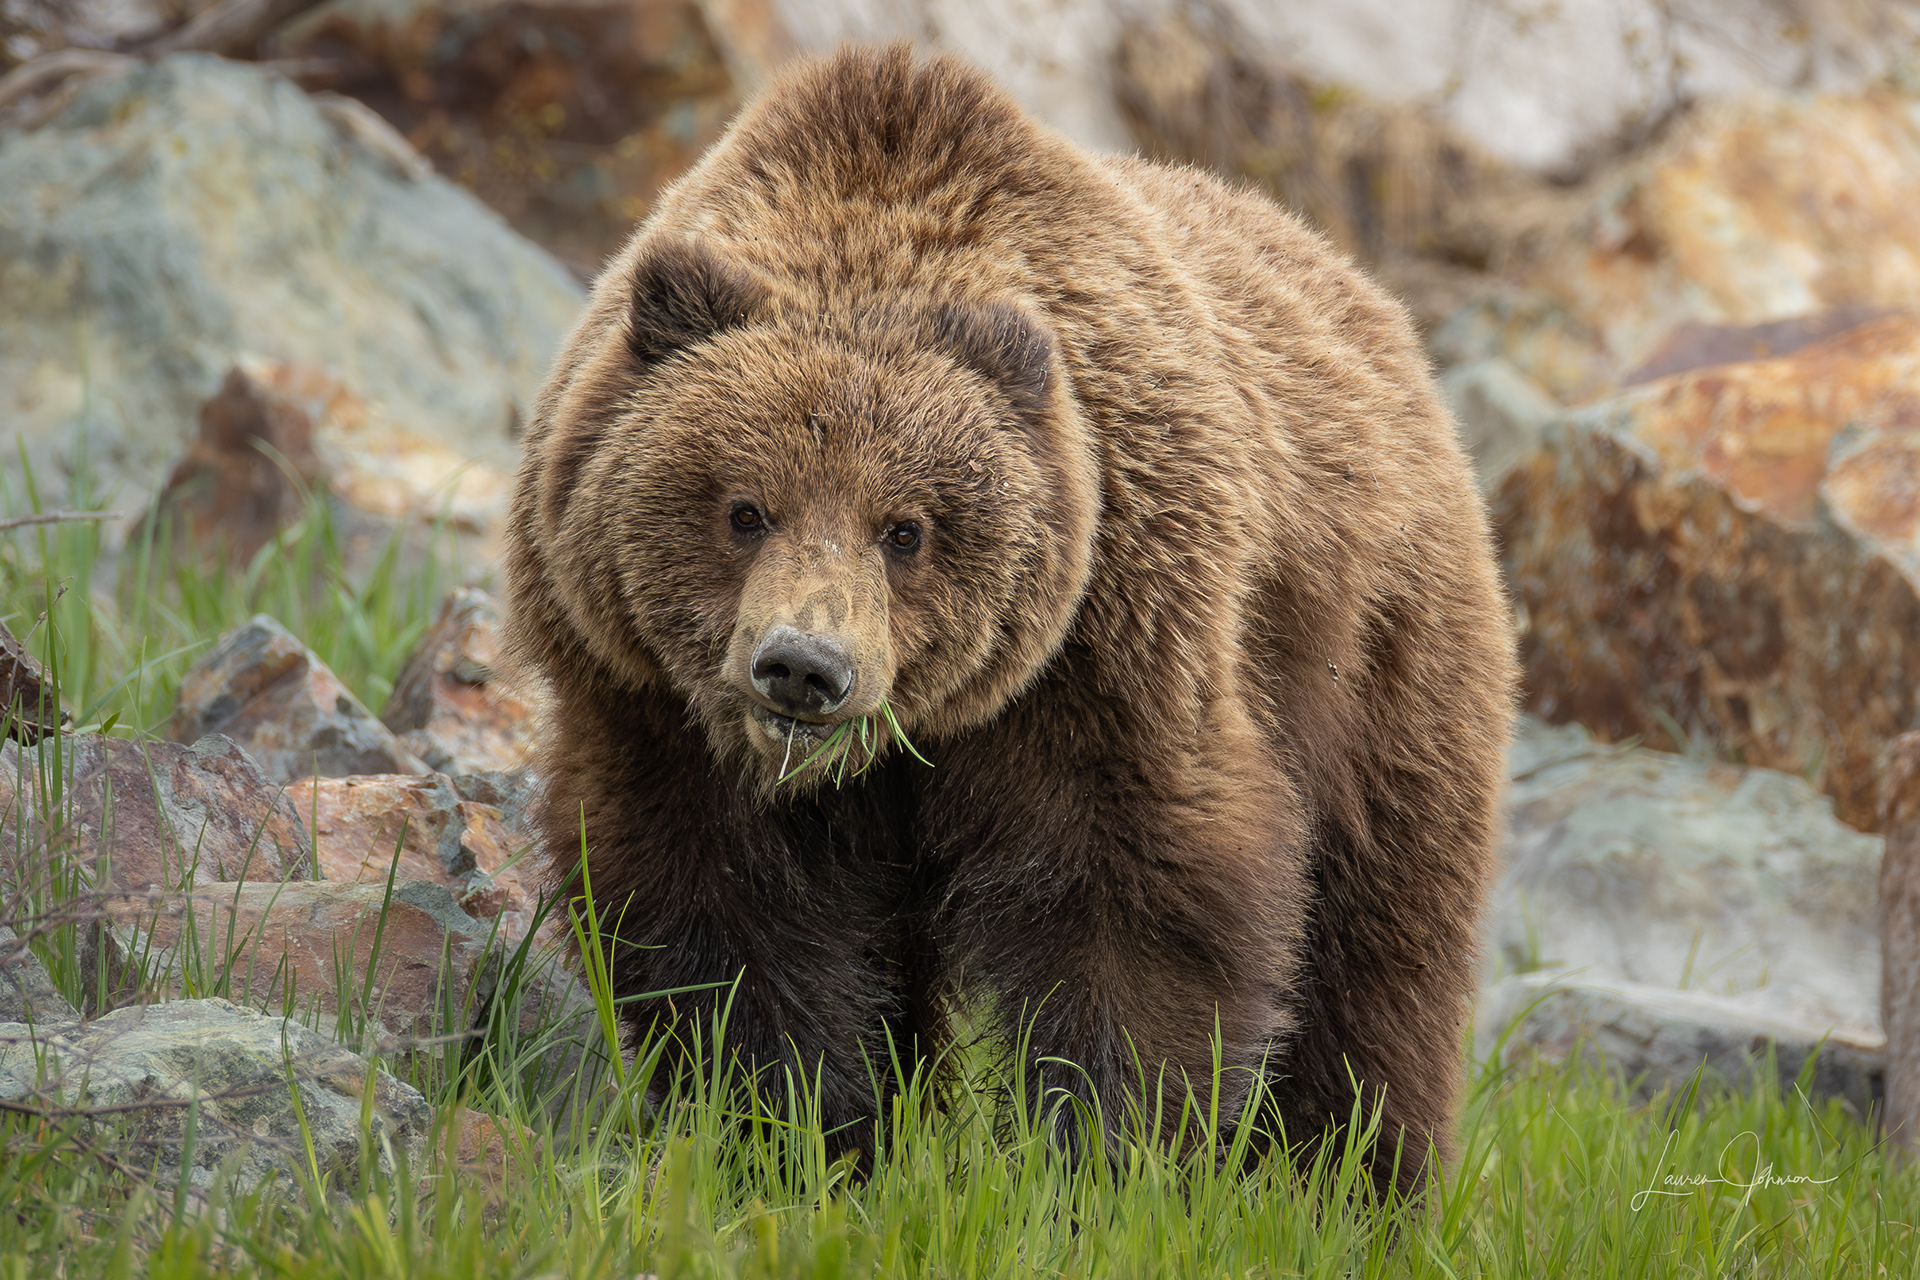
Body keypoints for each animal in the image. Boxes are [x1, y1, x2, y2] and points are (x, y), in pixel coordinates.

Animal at [504, 44, 1517, 1193]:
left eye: (905, 528)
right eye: (744, 508)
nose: (804, 667)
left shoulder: (1107, 653)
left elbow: (1134, 908)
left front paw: (1107, 1164)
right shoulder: (651, 707)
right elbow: (726, 925)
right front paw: (794, 1140)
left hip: (1378, 660)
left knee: (1381, 948)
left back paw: (1352, 1180)